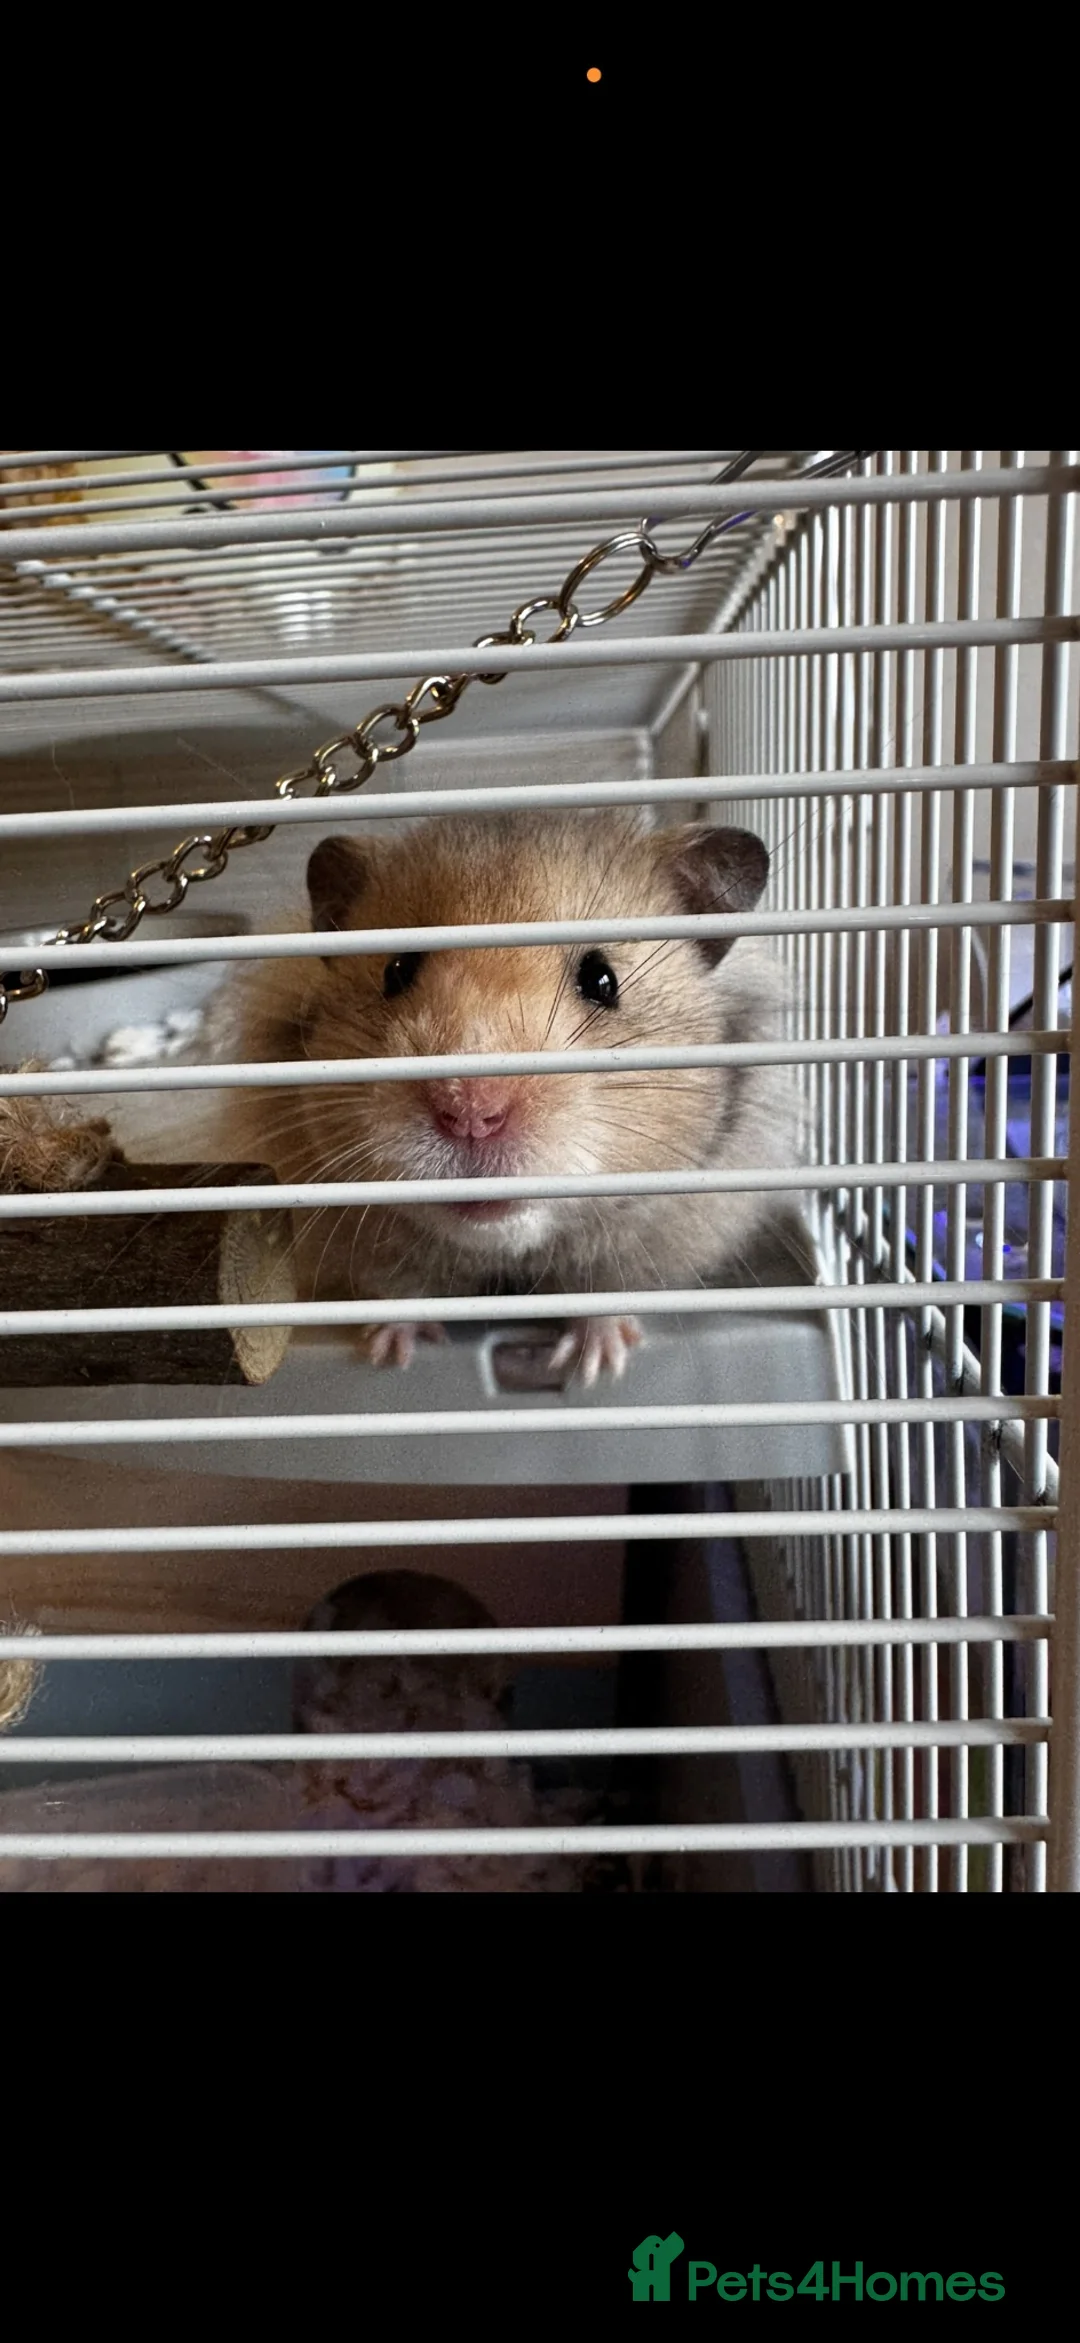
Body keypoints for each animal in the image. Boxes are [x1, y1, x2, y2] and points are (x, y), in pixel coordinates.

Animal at [203, 807, 803, 1383]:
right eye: (396, 971)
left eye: (603, 980)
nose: (471, 1111)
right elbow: (402, 1291)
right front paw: (387, 1354)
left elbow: (605, 1294)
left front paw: (597, 1365)